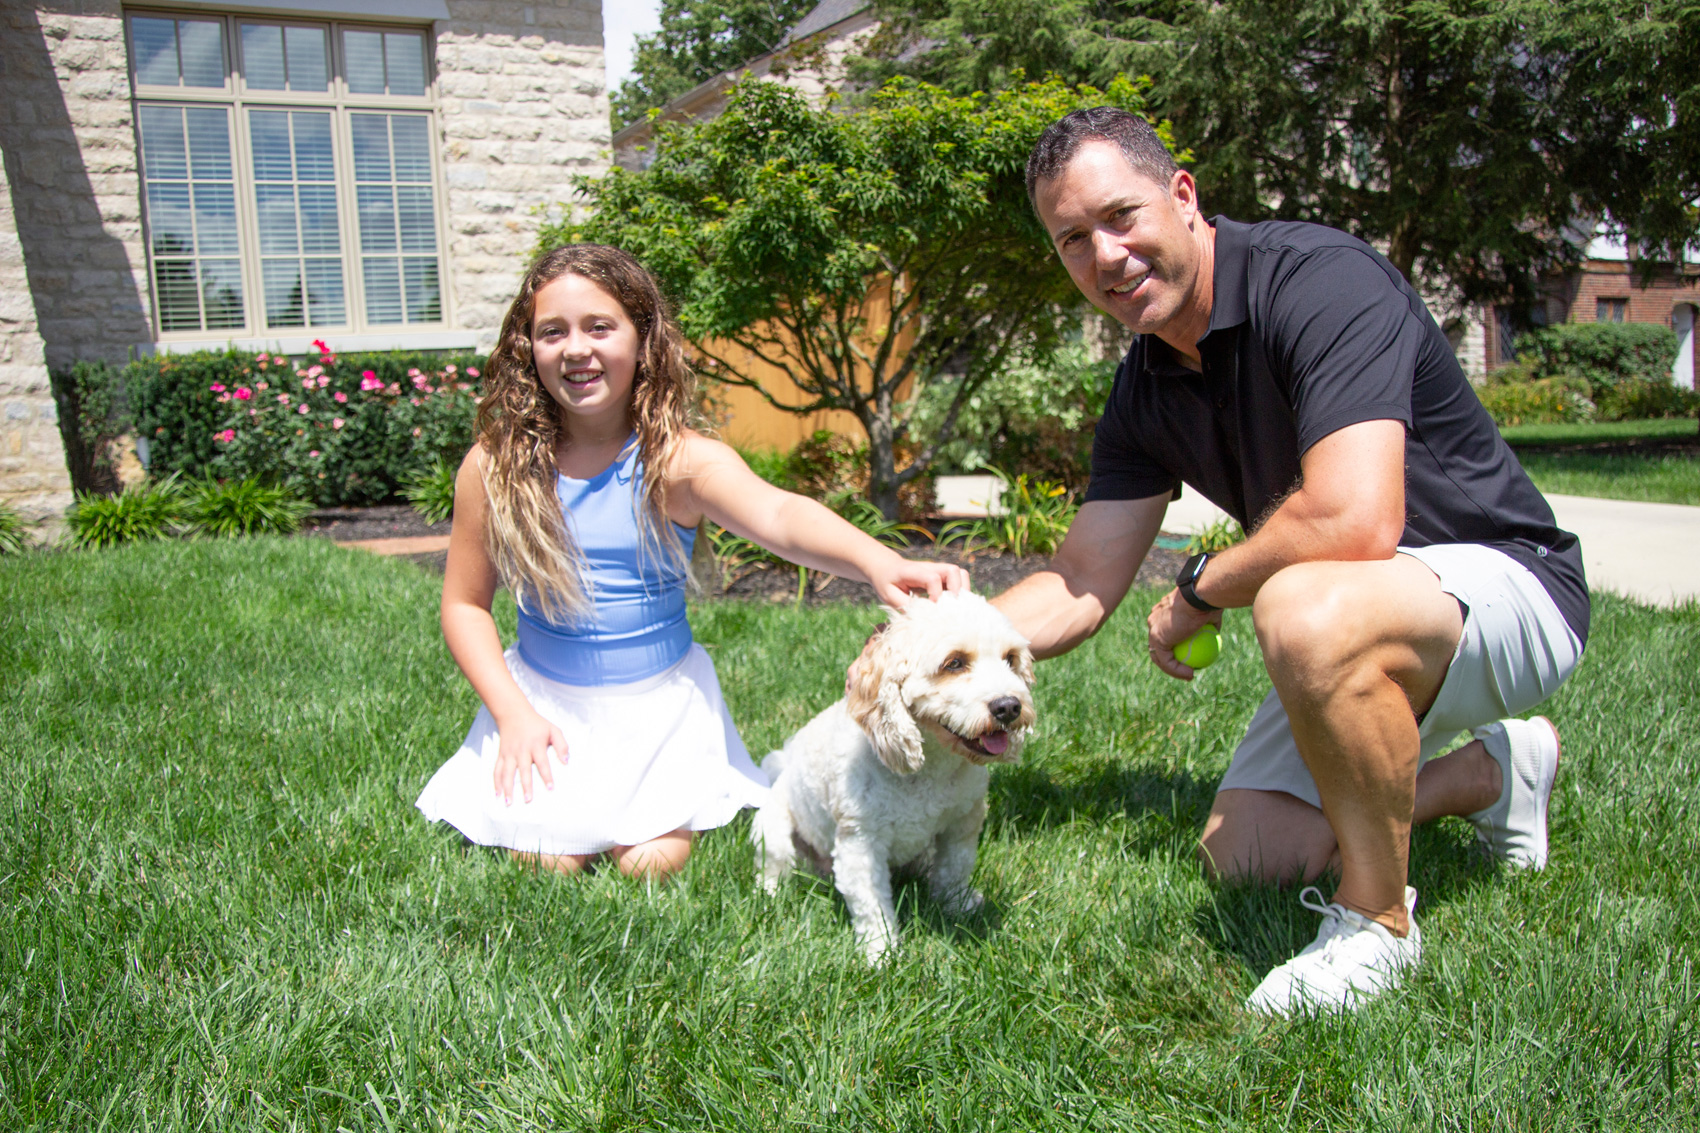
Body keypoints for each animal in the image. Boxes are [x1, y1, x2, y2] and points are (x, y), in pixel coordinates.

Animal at [754, 592, 1033, 959]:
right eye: (954, 663)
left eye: (1010, 659)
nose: (1009, 706)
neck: (930, 769)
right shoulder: (860, 844)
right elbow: (872, 903)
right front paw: (880, 952)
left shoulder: (961, 823)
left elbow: (954, 870)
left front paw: (957, 905)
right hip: (772, 833)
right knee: (773, 868)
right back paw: (770, 895)